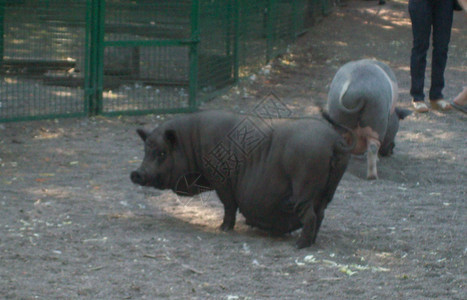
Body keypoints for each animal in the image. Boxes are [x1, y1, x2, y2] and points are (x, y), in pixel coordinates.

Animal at [130, 110, 352, 248]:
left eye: (162, 153)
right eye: (146, 150)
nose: (136, 173)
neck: (190, 144)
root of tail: (335, 141)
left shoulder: (221, 180)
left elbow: (229, 205)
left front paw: (222, 229)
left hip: (304, 188)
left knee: (311, 216)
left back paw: (299, 246)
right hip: (326, 191)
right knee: (321, 214)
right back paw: (311, 242)